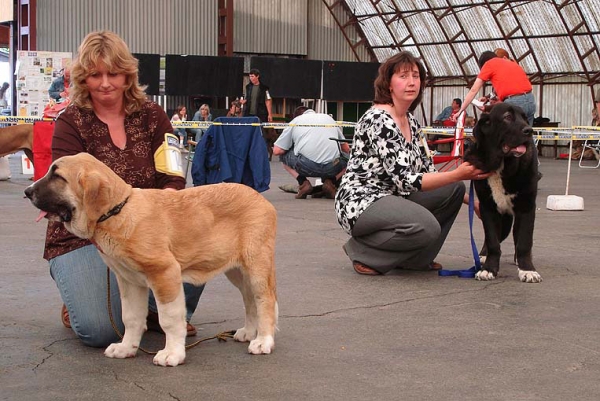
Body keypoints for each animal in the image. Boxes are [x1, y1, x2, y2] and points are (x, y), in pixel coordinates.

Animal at [22, 152, 276, 366]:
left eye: (58, 176)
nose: (27, 192)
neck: (118, 212)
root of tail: (261, 198)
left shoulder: (165, 272)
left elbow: (170, 318)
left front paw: (172, 353)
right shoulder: (129, 281)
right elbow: (131, 317)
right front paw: (126, 348)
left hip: (256, 265)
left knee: (264, 300)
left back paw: (263, 340)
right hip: (236, 270)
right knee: (249, 299)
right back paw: (249, 332)